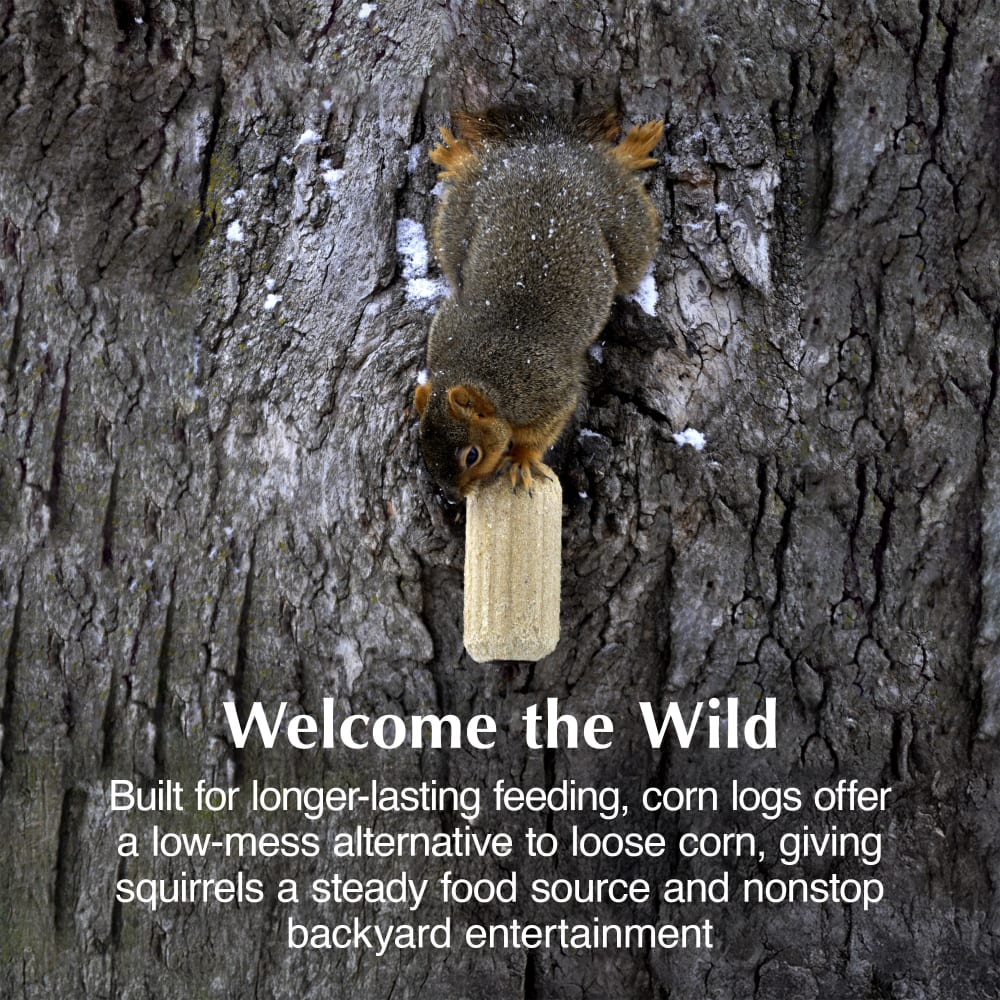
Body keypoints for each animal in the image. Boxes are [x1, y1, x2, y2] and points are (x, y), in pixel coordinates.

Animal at [413, 107, 664, 499]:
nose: (454, 497)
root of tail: (547, 157)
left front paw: (522, 459)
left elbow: (543, 429)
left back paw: (630, 151)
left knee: (622, 187)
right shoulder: (444, 327)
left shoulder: (546, 388)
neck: (475, 368)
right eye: (424, 448)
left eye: (472, 455)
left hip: (627, 226)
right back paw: (457, 157)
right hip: (460, 215)